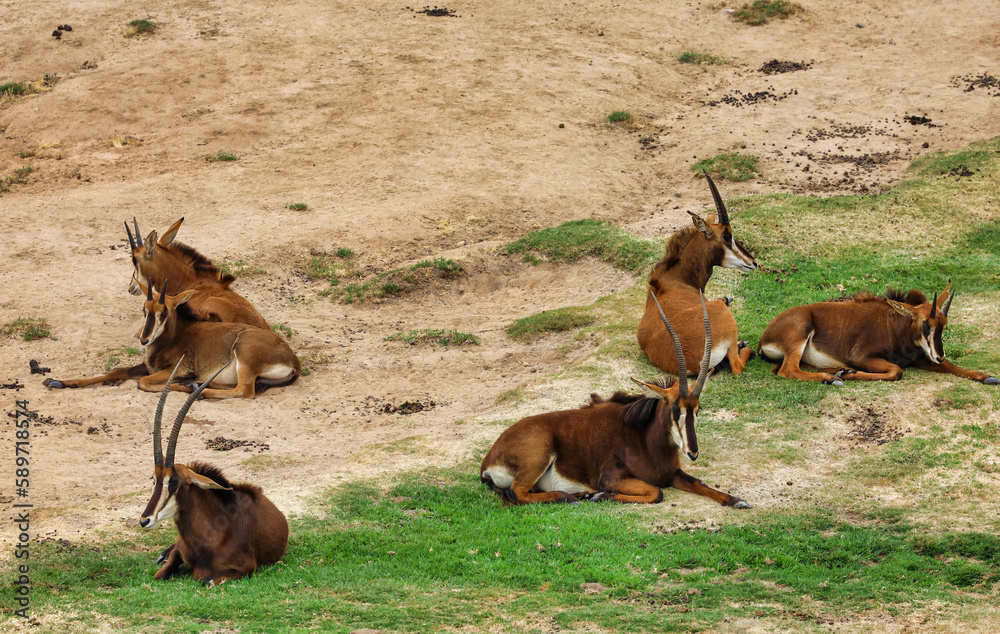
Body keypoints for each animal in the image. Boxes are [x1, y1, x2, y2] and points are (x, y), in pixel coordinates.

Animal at [43, 280, 300, 398]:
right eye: (144, 309)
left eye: (164, 312)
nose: (143, 339)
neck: (175, 336)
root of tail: (293, 360)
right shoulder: (148, 366)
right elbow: (114, 372)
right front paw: (58, 382)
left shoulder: (174, 369)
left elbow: (142, 383)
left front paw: (180, 384)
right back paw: (198, 385)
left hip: (244, 355)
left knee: (244, 390)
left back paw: (197, 390)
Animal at [141, 360, 289, 586]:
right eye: (154, 480)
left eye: (173, 482)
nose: (145, 520)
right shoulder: (179, 553)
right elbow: (161, 574)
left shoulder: (245, 568)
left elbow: (207, 580)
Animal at [481, 291, 751, 508]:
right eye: (675, 410)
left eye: (697, 409)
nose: (693, 453)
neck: (645, 439)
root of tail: (487, 462)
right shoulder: (611, 478)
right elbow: (657, 492)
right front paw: (600, 495)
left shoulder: (673, 473)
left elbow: (700, 483)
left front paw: (738, 500)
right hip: (538, 458)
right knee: (517, 494)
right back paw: (568, 496)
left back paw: (578, 495)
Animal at [638, 174, 757, 377]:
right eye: (727, 236)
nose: (753, 262)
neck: (676, 278)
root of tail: (694, 363)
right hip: (724, 317)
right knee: (736, 365)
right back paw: (745, 346)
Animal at [758, 281, 999, 385]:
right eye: (925, 325)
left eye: (944, 325)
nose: (938, 355)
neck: (897, 327)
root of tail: (763, 340)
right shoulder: (862, 356)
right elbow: (896, 371)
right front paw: (852, 374)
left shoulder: (922, 359)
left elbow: (952, 366)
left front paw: (986, 376)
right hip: (800, 334)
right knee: (788, 370)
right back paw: (834, 378)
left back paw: (839, 371)